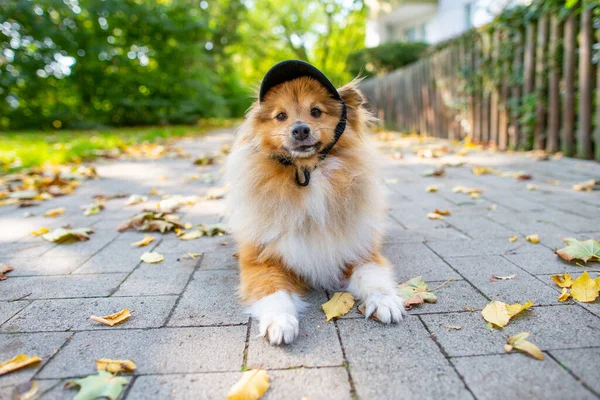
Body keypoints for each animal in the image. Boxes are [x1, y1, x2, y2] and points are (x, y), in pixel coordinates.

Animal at [226, 61, 408, 346]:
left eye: (316, 111)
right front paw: (280, 322)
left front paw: (385, 301)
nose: (300, 129)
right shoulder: (261, 261)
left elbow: (373, 276)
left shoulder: (359, 251)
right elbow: (273, 292)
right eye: (281, 116)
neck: (309, 174)